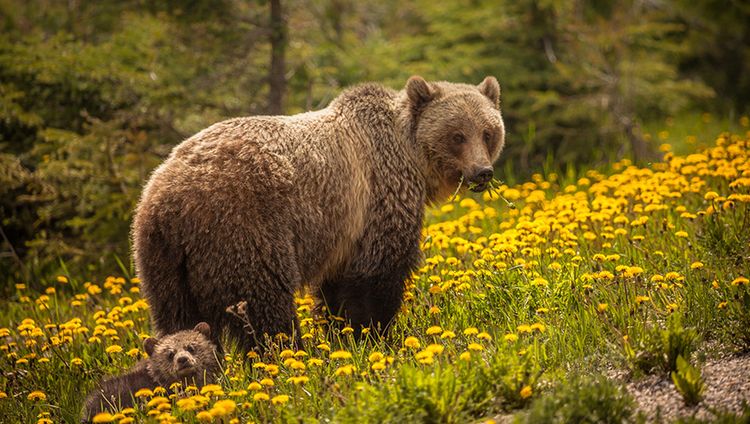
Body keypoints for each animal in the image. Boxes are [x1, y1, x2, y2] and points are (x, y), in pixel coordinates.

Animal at [133, 75, 508, 352]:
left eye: (488, 132)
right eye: (457, 135)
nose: (482, 172)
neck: (410, 156)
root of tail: (167, 199)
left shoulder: (343, 230)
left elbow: (336, 290)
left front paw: (341, 334)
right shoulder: (377, 198)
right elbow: (378, 274)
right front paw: (374, 336)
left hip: (164, 261)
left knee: (177, 318)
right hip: (241, 227)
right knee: (264, 303)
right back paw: (288, 354)